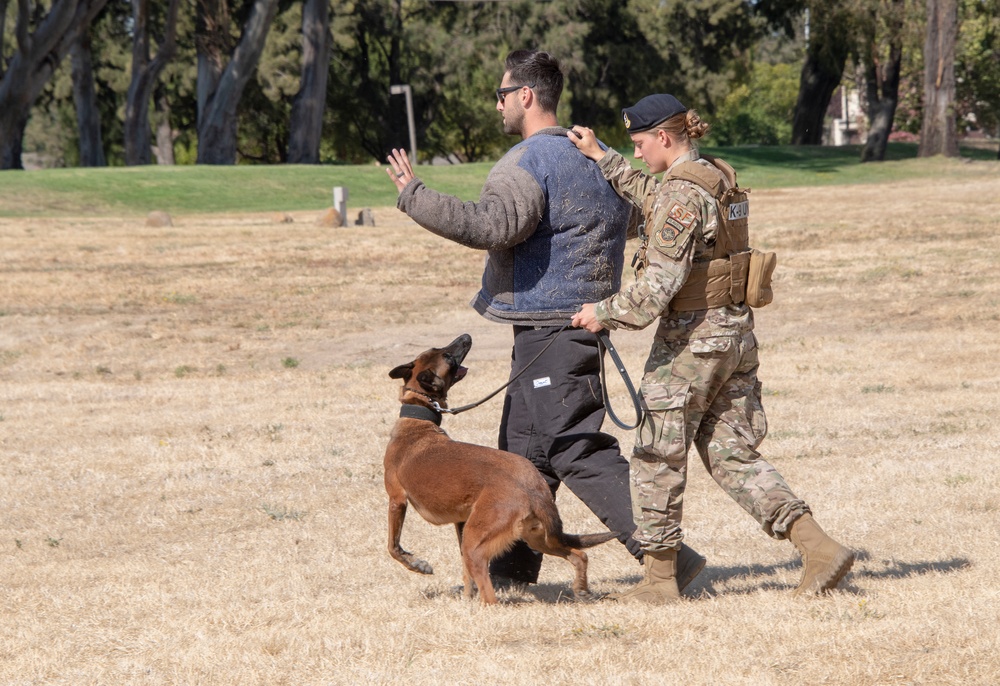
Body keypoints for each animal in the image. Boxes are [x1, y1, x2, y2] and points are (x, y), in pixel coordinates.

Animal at [382, 334, 616, 608]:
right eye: (443, 353)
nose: (466, 336)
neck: (418, 420)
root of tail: (533, 489)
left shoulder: (396, 500)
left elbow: (393, 547)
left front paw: (417, 564)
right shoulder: (461, 521)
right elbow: (465, 574)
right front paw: (466, 597)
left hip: (479, 543)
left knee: (489, 593)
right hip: (537, 537)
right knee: (579, 555)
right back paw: (581, 590)